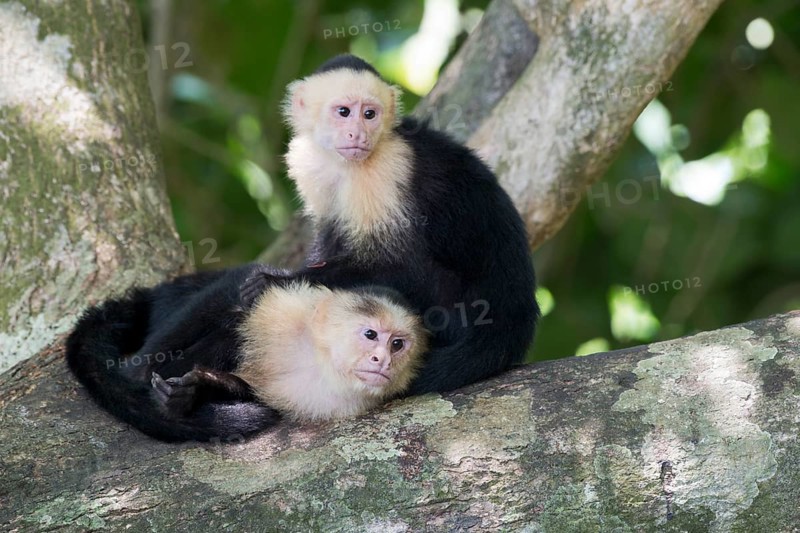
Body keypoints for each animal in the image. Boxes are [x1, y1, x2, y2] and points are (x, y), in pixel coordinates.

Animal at [66, 264, 426, 442]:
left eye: (397, 344)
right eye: (370, 335)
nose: (383, 360)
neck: (319, 360)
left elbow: (254, 395)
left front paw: (197, 390)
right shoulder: (290, 307)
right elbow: (238, 291)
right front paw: (139, 373)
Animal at [242, 54, 539, 395]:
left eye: (370, 114)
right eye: (344, 112)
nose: (358, 134)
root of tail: (516, 315)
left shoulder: (387, 168)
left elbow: (403, 263)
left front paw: (278, 278)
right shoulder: (309, 164)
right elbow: (331, 231)